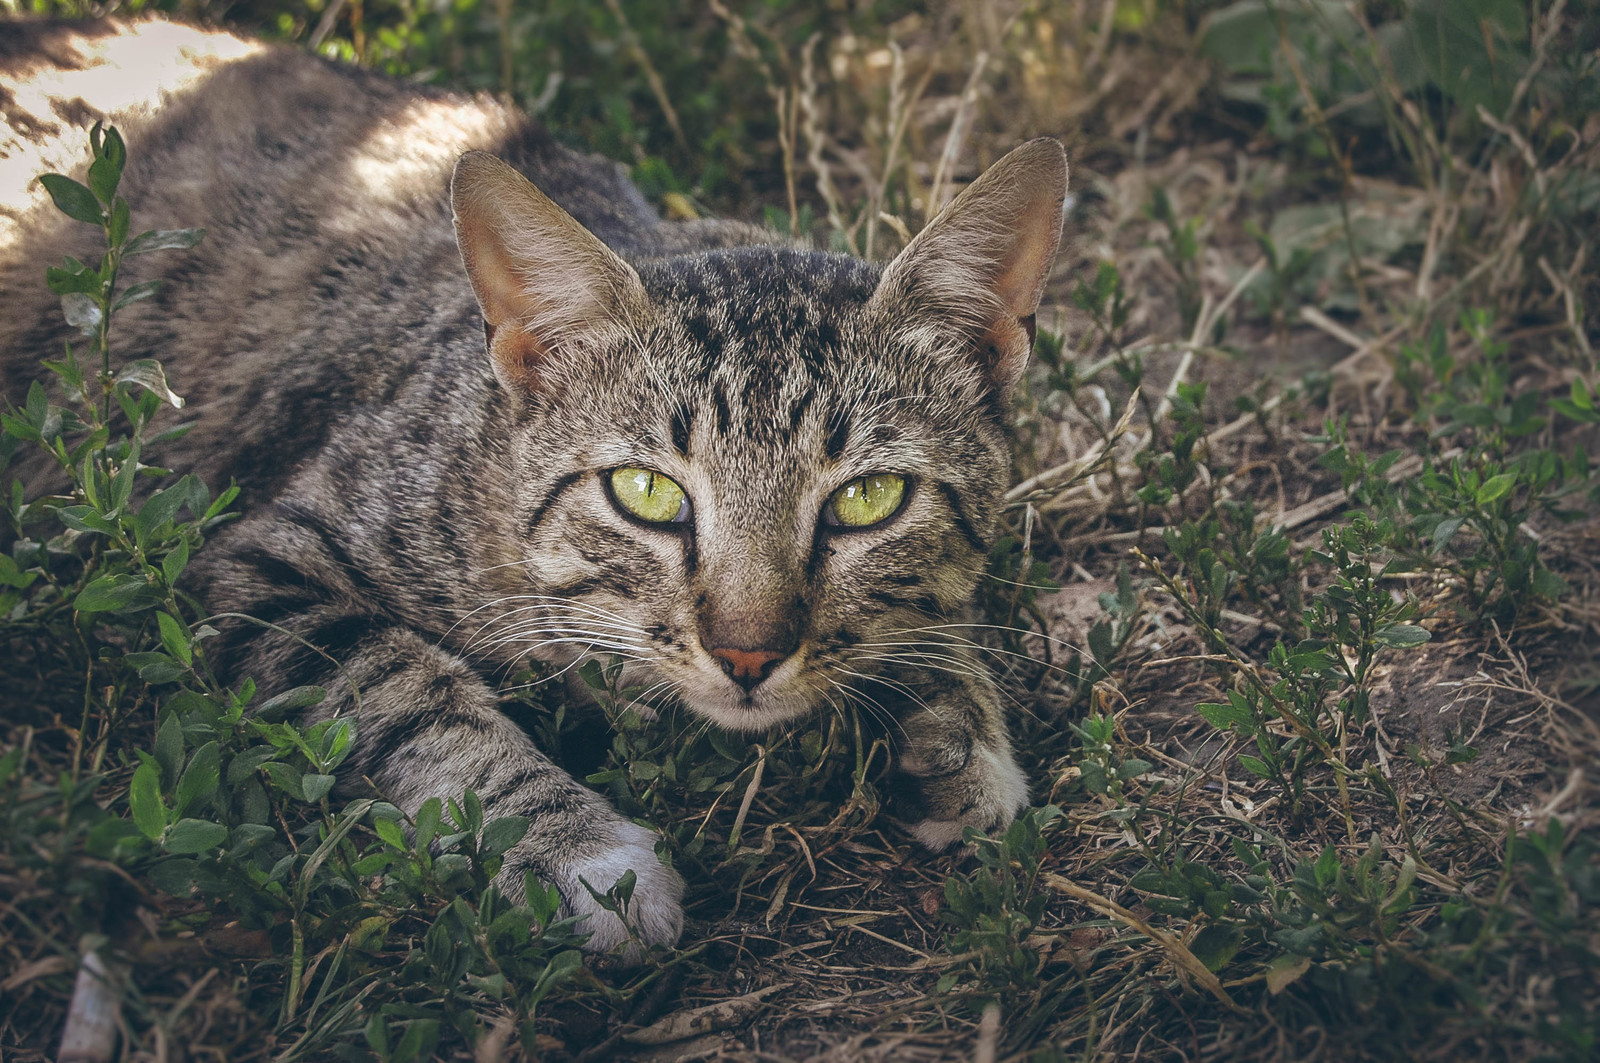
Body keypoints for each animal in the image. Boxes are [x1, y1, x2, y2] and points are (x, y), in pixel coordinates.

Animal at [3, 16, 1075, 947]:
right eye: (647, 493)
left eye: (866, 501)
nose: (747, 655)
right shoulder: (258, 559)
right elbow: (400, 685)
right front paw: (571, 847)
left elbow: (941, 616)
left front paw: (954, 726)